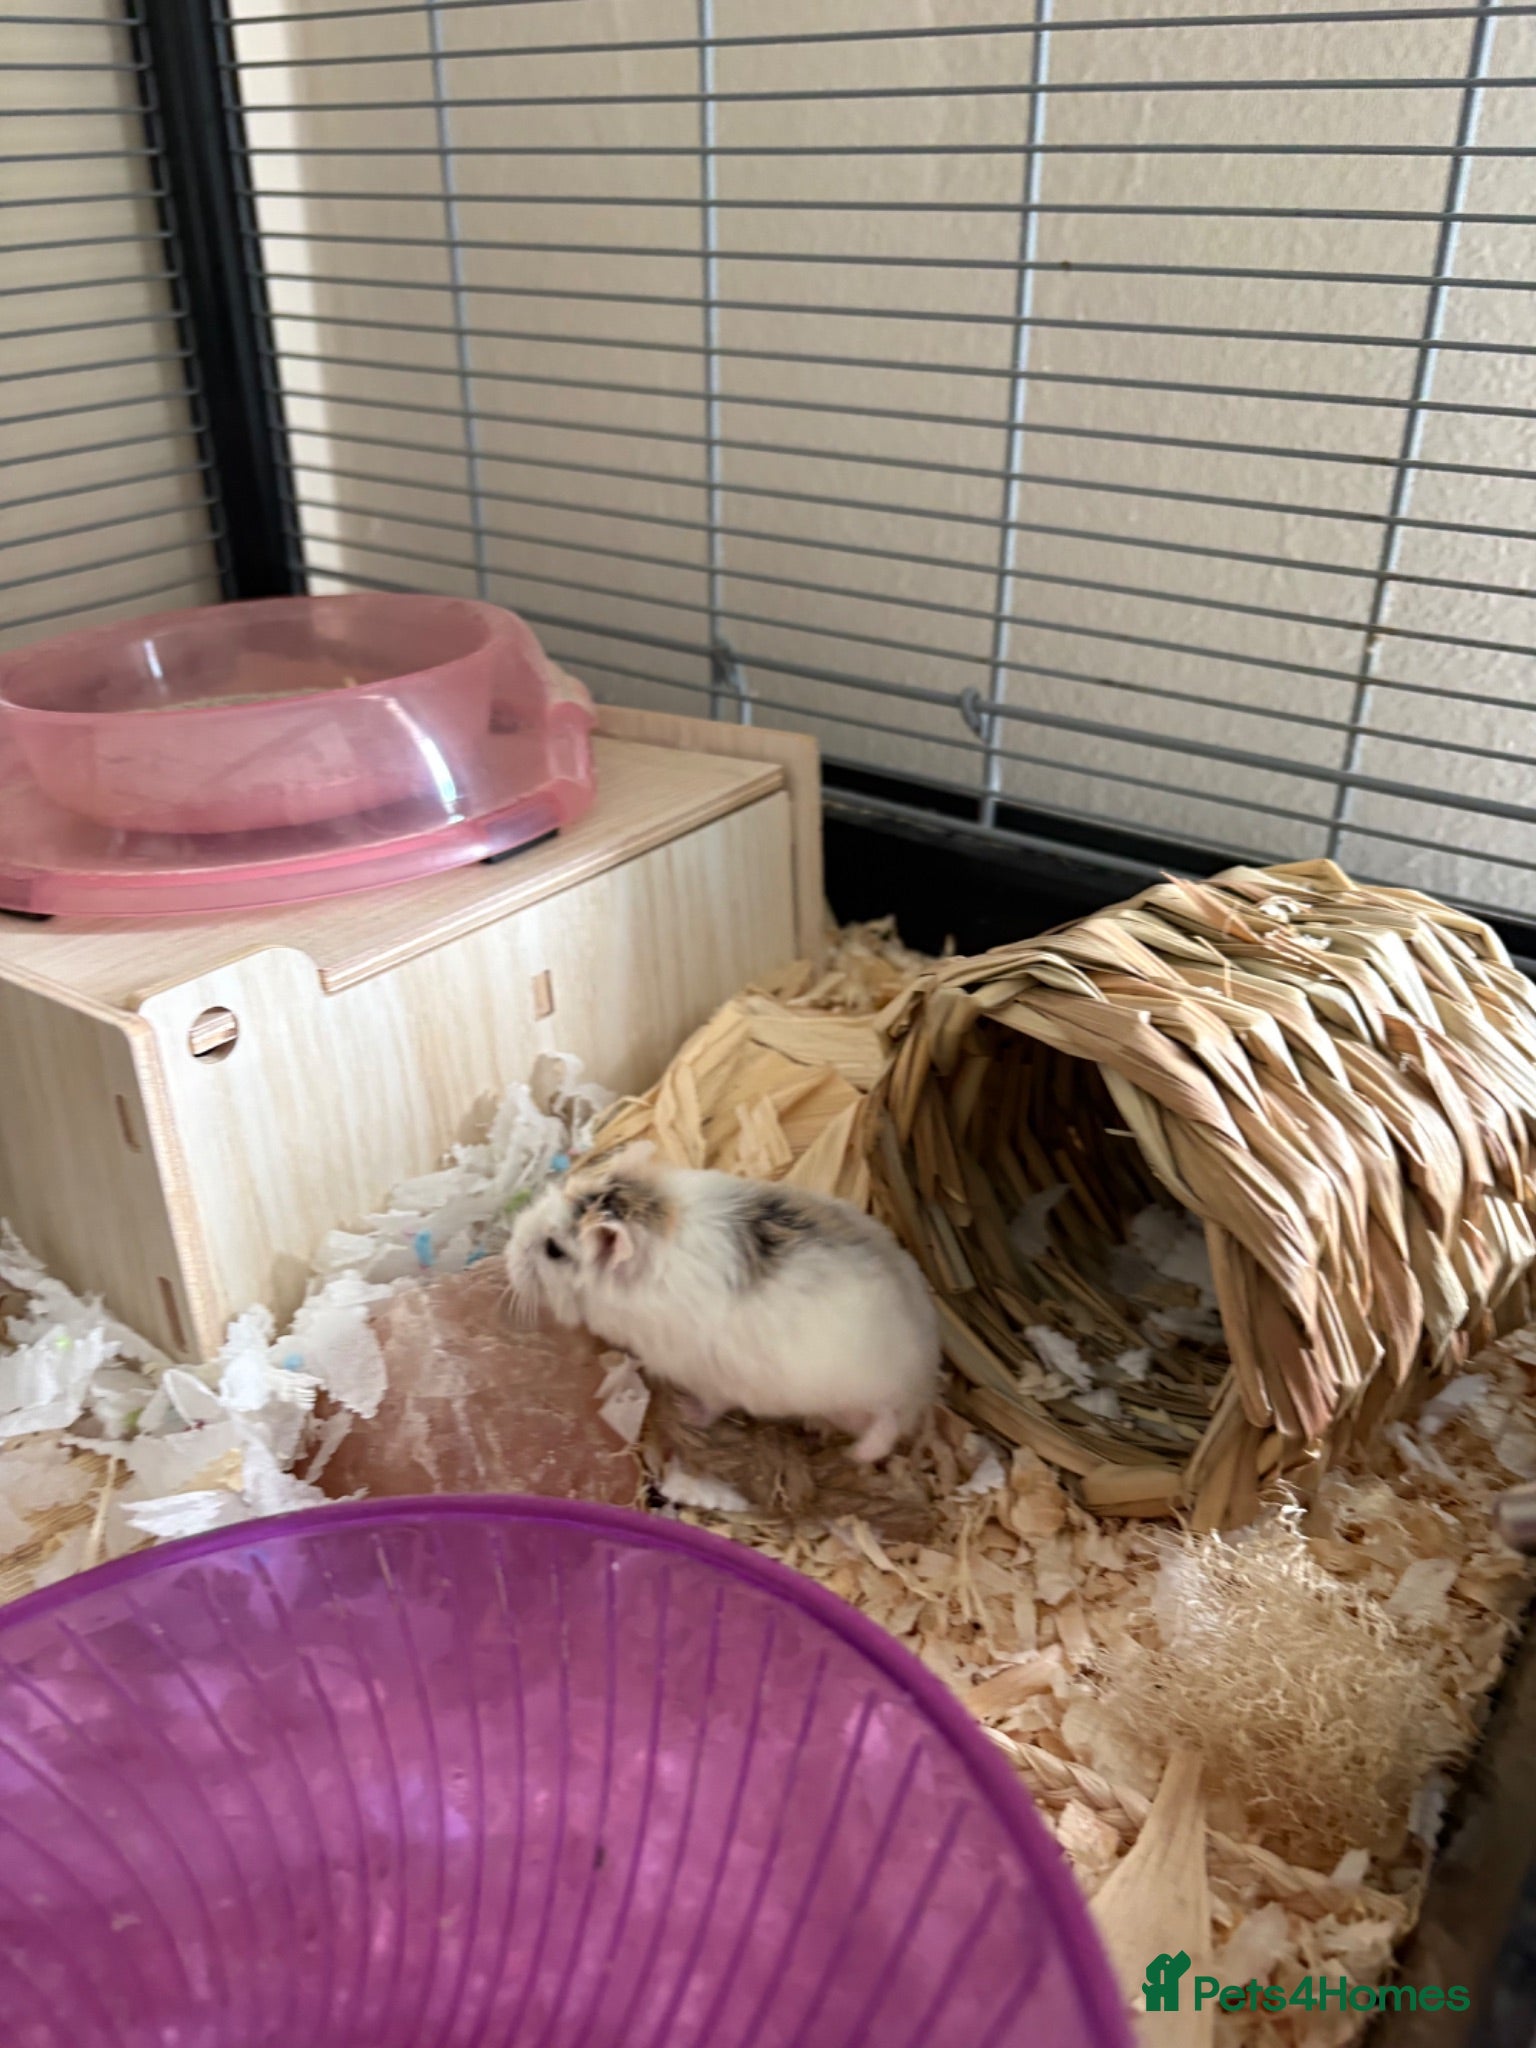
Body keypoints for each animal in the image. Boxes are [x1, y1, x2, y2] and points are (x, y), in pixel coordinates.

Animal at [506, 1146, 940, 1463]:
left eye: (553, 1250)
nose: (509, 1252)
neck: (657, 1226)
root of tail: (922, 1385)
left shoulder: (704, 1375)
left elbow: (712, 1406)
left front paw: (683, 1410)